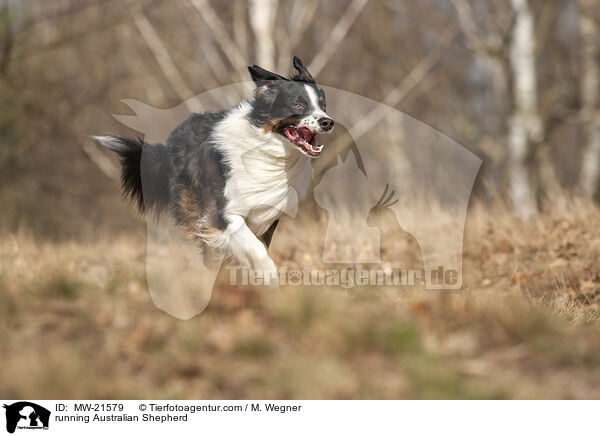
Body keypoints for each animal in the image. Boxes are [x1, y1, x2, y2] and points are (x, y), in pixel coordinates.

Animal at [94, 57, 332, 282]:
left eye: (323, 105)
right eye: (298, 105)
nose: (328, 122)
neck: (269, 151)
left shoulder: (269, 216)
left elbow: (259, 246)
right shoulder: (222, 213)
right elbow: (255, 249)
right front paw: (269, 277)